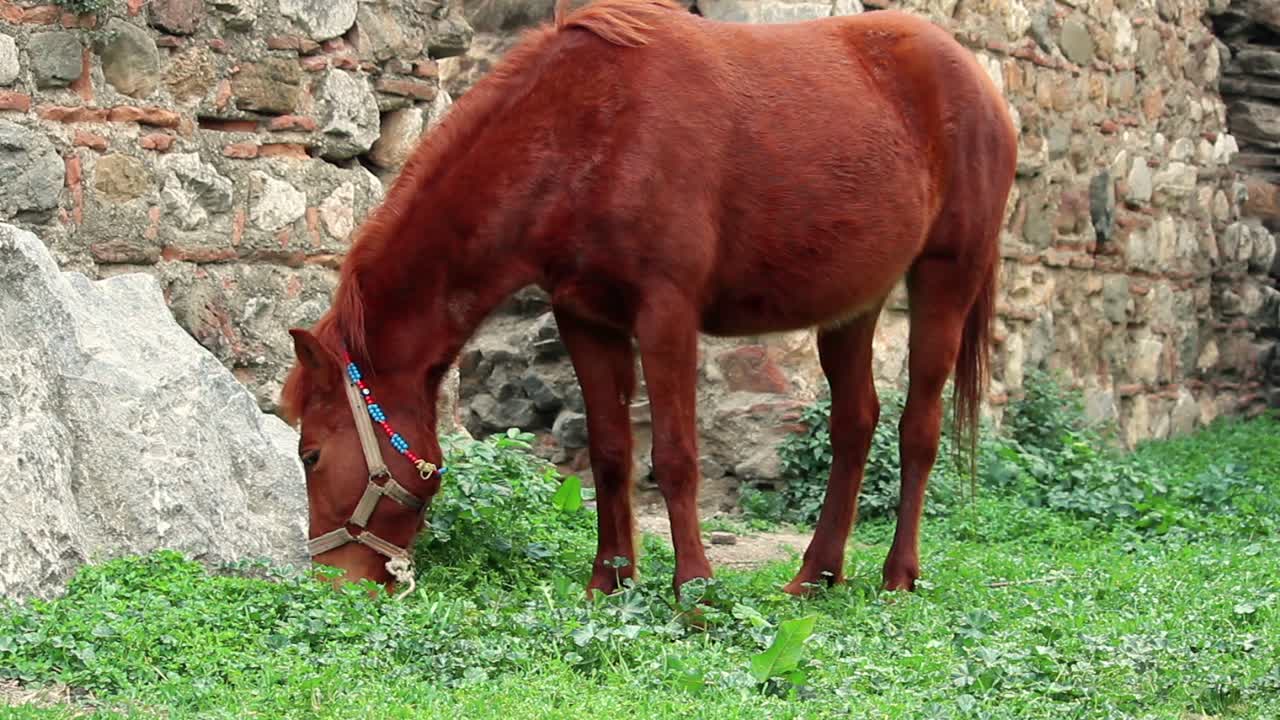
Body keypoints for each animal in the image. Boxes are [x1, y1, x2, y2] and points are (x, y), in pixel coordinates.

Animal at [279, 0, 1018, 598]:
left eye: (310, 454)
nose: (331, 582)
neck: (586, 130)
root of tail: (980, 81)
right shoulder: (585, 317)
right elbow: (611, 453)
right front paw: (609, 582)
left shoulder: (667, 313)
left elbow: (676, 456)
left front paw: (693, 592)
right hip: (852, 304)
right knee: (855, 425)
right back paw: (814, 576)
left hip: (944, 282)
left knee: (918, 429)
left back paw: (898, 577)